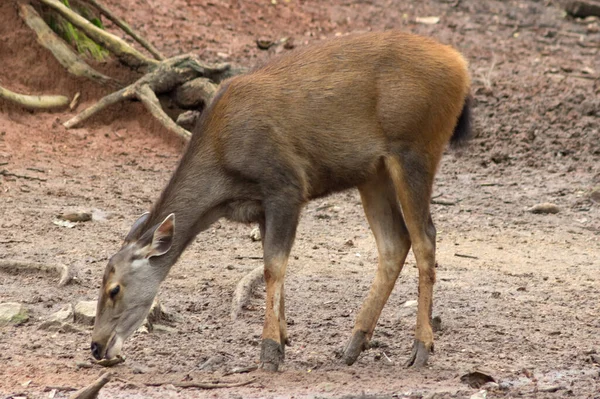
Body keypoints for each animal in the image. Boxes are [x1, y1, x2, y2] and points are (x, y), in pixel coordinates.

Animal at [91, 30, 472, 372]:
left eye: (113, 289)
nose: (95, 346)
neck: (223, 172)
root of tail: (461, 66)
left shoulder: (286, 186)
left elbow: (274, 267)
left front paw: (270, 351)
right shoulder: (261, 206)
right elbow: (271, 266)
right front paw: (284, 339)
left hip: (415, 147)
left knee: (425, 238)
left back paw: (420, 348)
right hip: (373, 173)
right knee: (395, 242)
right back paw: (353, 344)